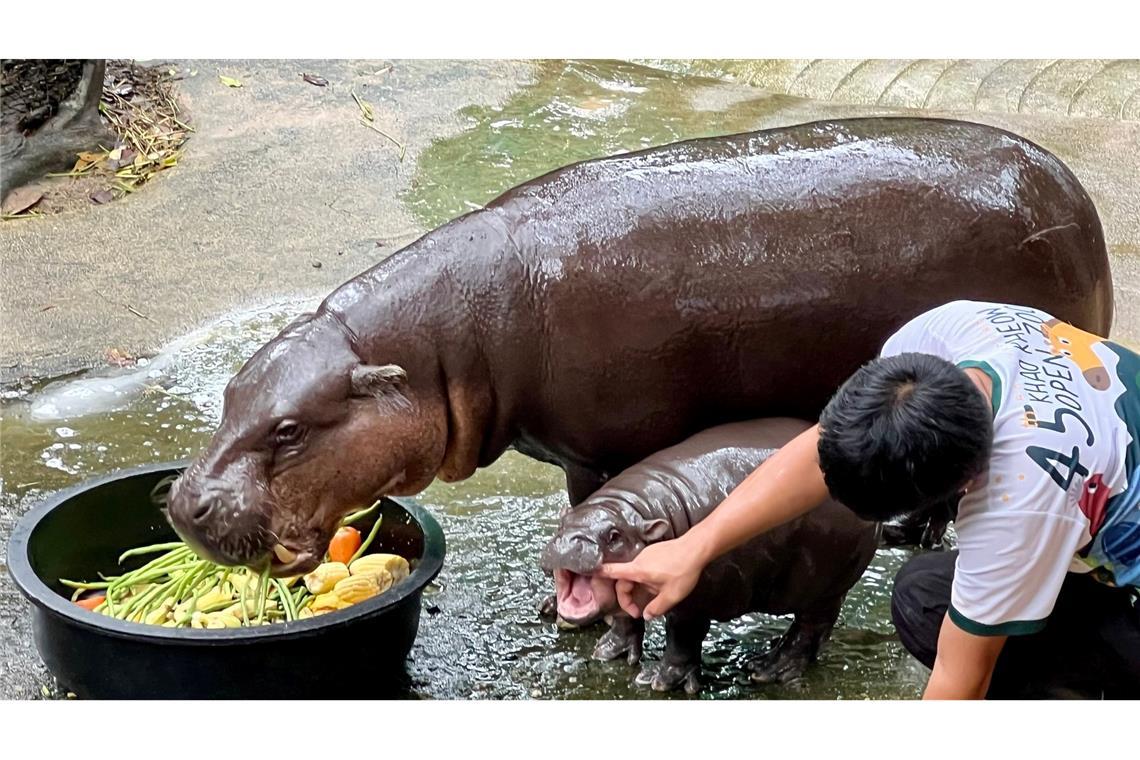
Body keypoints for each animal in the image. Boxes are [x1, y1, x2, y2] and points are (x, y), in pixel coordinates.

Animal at [168, 116, 1112, 574]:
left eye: (290, 429)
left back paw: (908, 538)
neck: (435, 346)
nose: (182, 505)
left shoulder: (603, 449)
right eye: (231, 393)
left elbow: (590, 509)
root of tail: (1075, 195)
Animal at [538, 419, 875, 692]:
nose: (567, 543)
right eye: (562, 524)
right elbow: (623, 616)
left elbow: (682, 639)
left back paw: (768, 669)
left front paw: (659, 680)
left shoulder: (693, 599)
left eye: (614, 536)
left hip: (827, 583)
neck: (635, 508)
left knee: (810, 627)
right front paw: (606, 651)